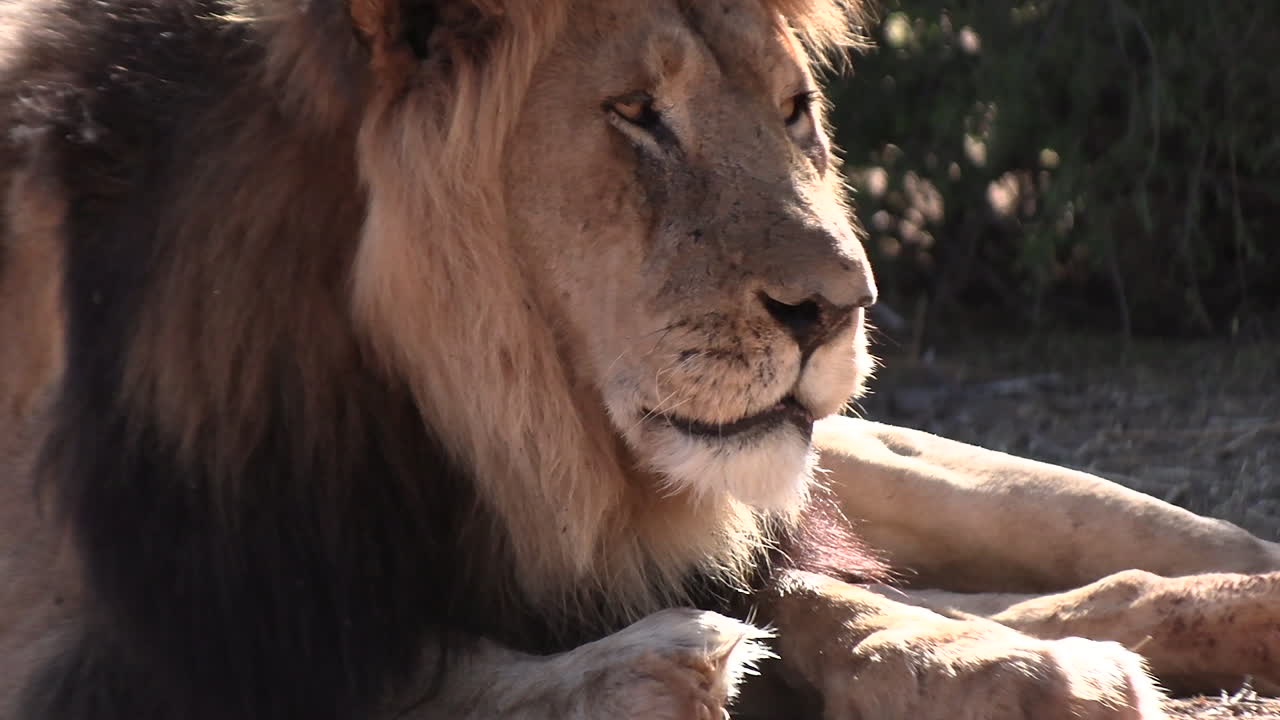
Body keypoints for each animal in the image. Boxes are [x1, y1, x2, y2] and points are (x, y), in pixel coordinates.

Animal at [0, 0, 1277, 718]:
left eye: (792, 110)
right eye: (635, 113)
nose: (840, 308)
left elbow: (818, 599)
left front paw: (999, 672)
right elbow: (394, 672)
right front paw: (643, 675)